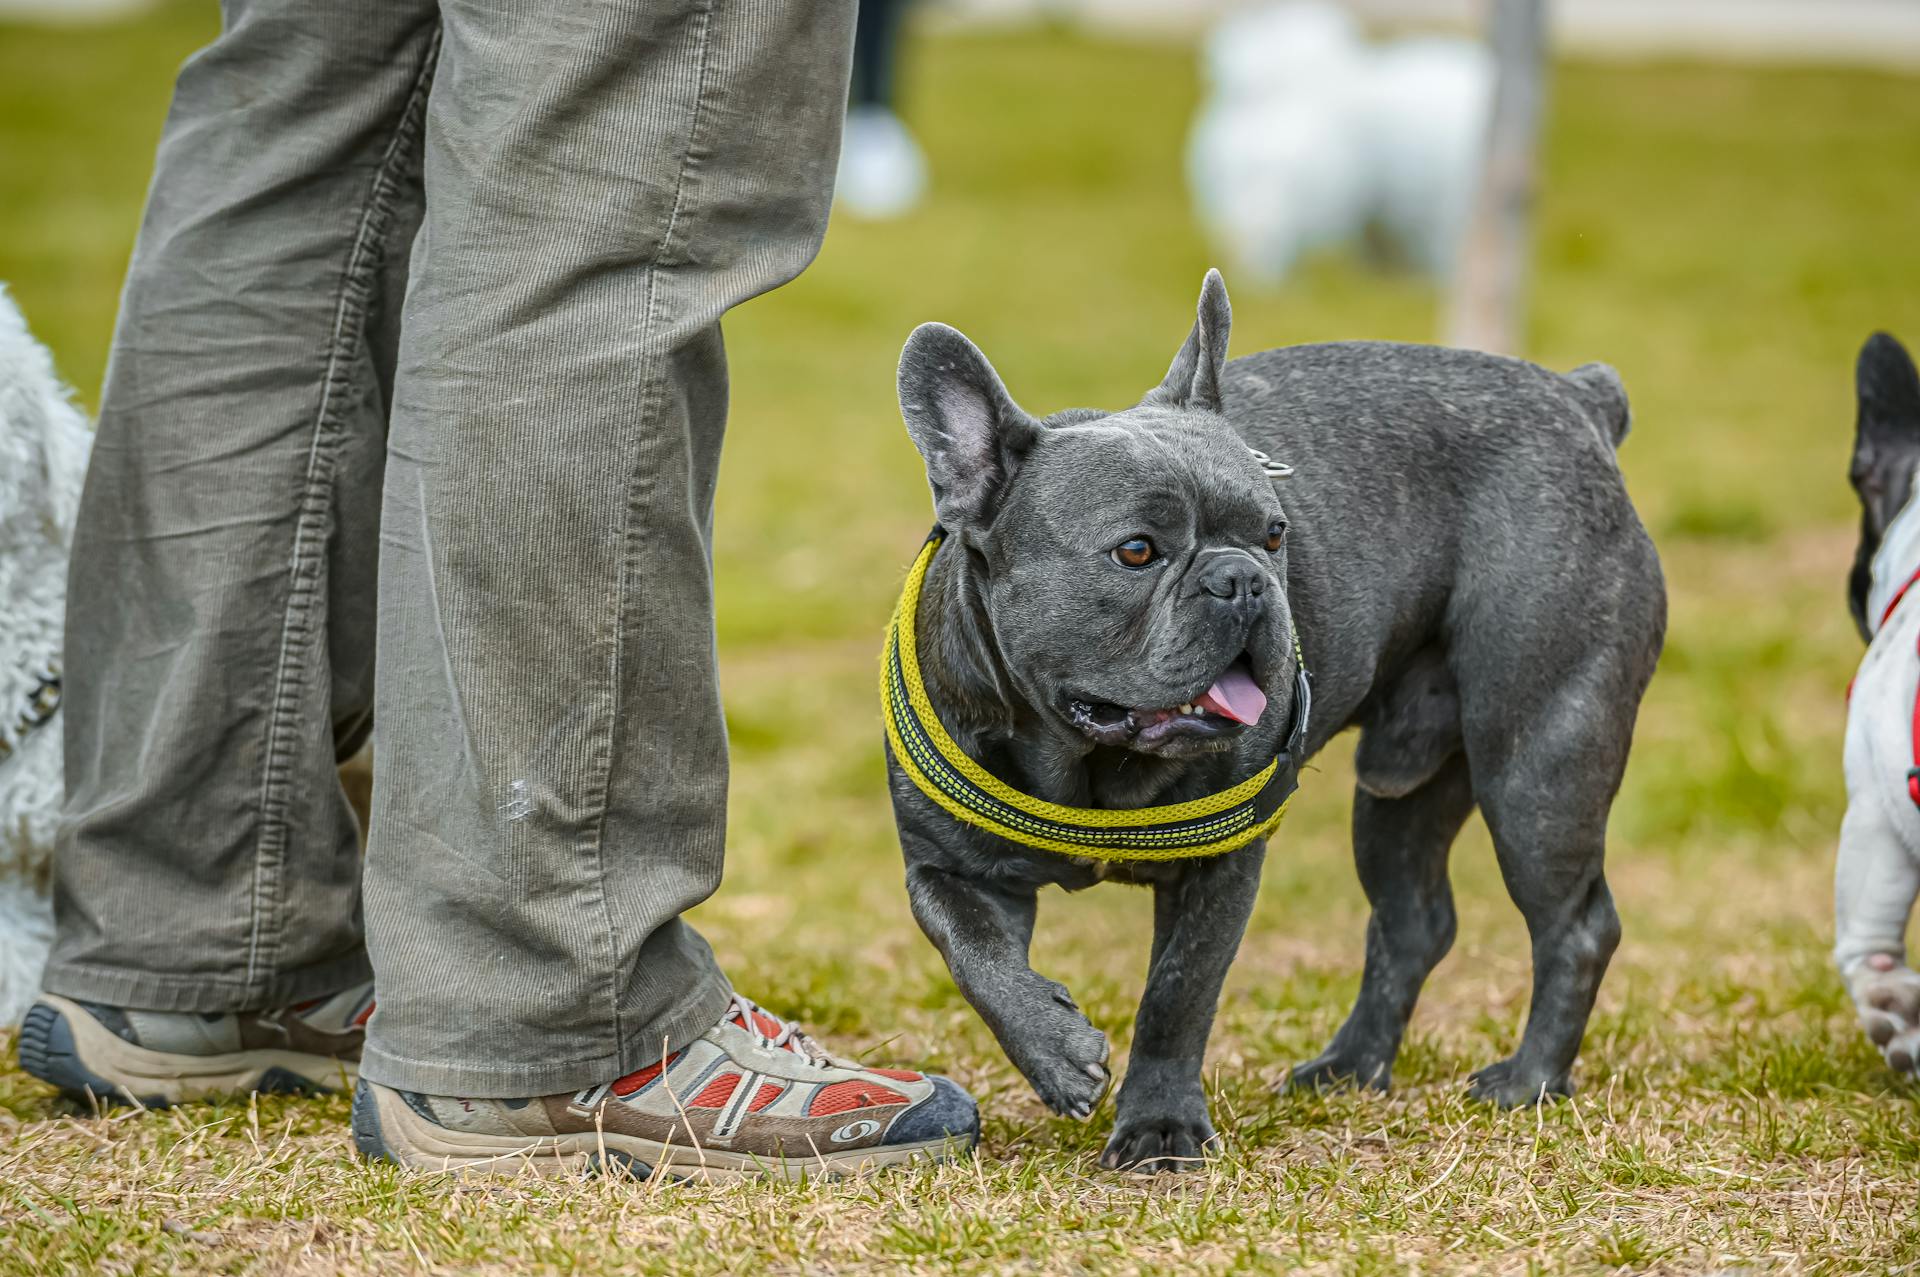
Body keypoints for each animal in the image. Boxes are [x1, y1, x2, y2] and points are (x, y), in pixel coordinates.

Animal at [883, 274, 1666, 1167]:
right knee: (1414, 922)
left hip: (1539, 763)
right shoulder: (946, 867)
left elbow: (1177, 991)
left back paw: (1528, 1081)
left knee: (1575, 924)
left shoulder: (1221, 868)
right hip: (1403, 794)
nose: (1245, 578)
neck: (1085, 759)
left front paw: (1159, 1127)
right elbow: (973, 955)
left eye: (1274, 532)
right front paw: (1056, 1053)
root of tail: (1578, 398)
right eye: (1135, 551)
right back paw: (1349, 1068)